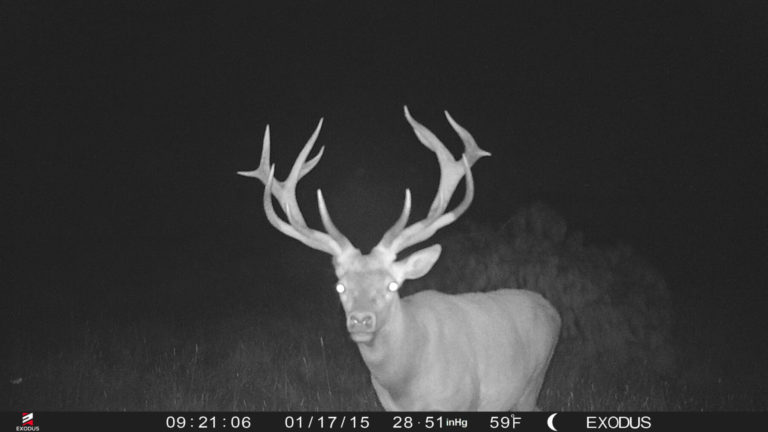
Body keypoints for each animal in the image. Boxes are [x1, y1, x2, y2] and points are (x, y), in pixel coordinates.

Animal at [238, 106, 561, 411]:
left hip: (533, 381)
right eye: (341, 286)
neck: (406, 386)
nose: (361, 320)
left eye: (392, 286)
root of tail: (552, 310)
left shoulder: (463, 400)